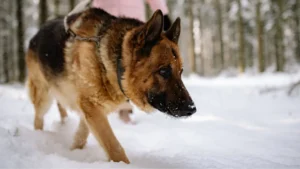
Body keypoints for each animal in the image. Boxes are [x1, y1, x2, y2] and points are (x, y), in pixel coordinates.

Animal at [25, 0, 195, 164]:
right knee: (38, 119)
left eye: (181, 72)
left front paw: (74, 152)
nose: (192, 109)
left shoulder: (90, 109)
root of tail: (38, 32)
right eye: (164, 71)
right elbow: (114, 147)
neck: (112, 64)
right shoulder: (92, 107)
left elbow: (82, 134)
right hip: (43, 97)